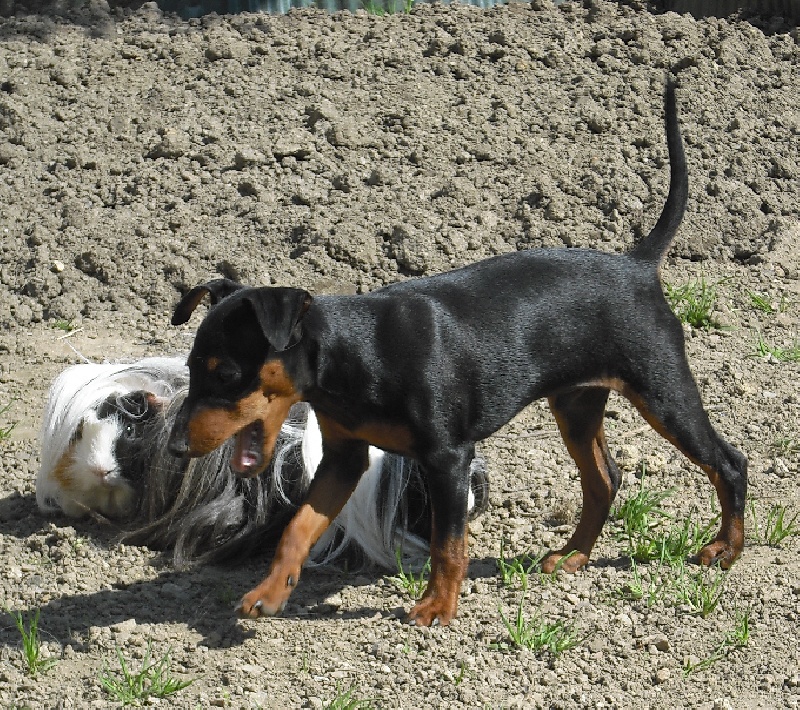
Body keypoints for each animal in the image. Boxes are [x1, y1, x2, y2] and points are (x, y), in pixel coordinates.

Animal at [170, 79, 752, 628]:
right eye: (192, 370)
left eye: (227, 374)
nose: (176, 448)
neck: (355, 350)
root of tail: (636, 264)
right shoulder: (343, 458)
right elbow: (297, 527)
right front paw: (269, 593)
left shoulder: (448, 458)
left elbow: (447, 543)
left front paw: (437, 607)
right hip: (577, 404)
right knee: (605, 479)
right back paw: (572, 556)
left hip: (663, 392)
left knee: (728, 461)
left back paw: (725, 550)